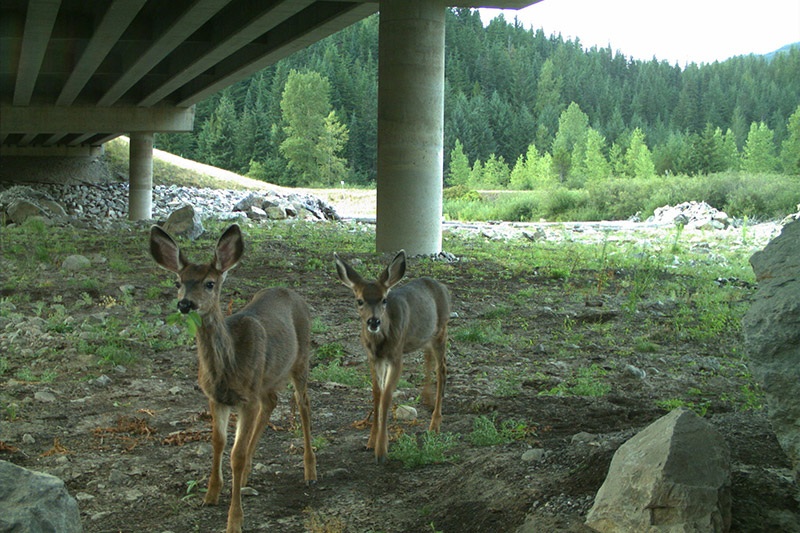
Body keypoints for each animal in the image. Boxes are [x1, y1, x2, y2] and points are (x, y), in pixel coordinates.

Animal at [149, 224, 316, 533]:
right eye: (178, 282)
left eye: (210, 283)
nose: (185, 304)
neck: (228, 366)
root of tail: (291, 292)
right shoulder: (216, 398)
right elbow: (218, 442)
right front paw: (211, 495)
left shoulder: (246, 399)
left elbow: (235, 455)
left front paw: (234, 520)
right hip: (265, 379)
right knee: (272, 401)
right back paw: (250, 472)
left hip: (301, 359)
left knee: (304, 405)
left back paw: (310, 470)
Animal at [334, 250, 451, 463]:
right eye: (359, 300)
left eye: (384, 300)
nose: (374, 321)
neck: (379, 344)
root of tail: (443, 287)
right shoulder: (374, 358)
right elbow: (376, 394)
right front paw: (370, 441)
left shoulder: (396, 356)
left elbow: (387, 396)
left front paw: (381, 449)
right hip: (425, 336)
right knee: (428, 357)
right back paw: (427, 398)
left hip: (441, 330)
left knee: (443, 369)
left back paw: (435, 424)